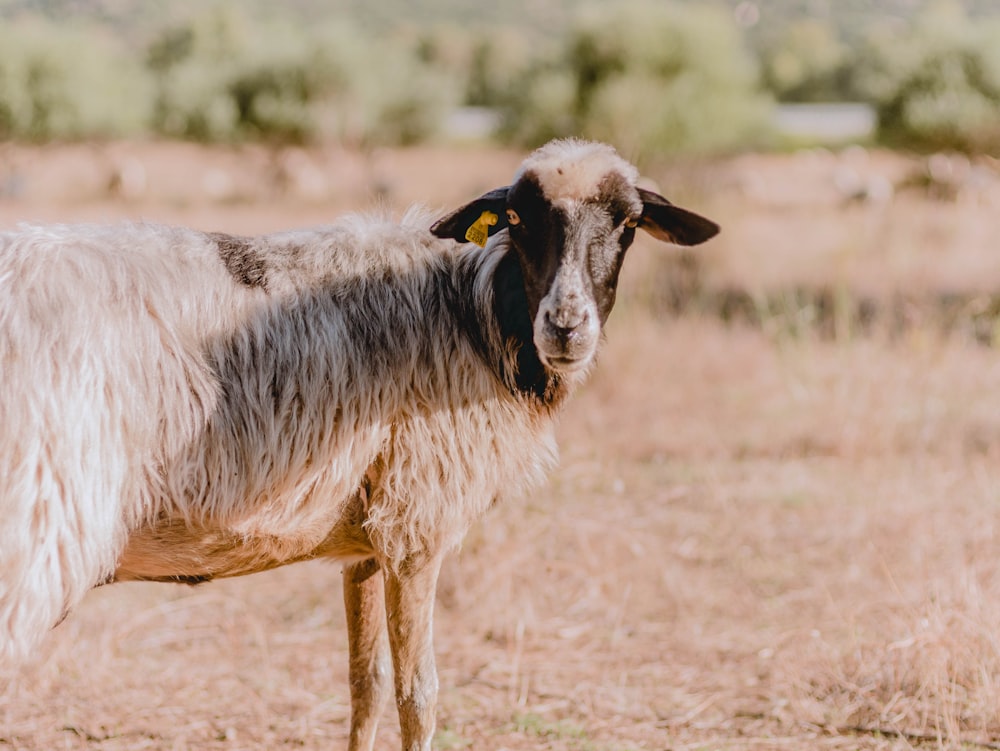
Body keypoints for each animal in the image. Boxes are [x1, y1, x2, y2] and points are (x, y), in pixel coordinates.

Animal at [0, 140, 720, 751]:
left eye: (628, 224)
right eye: (516, 217)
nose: (567, 326)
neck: (478, 313)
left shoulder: (367, 540)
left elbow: (364, 685)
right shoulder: (417, 525)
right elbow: (417, 695)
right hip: (36, 524)